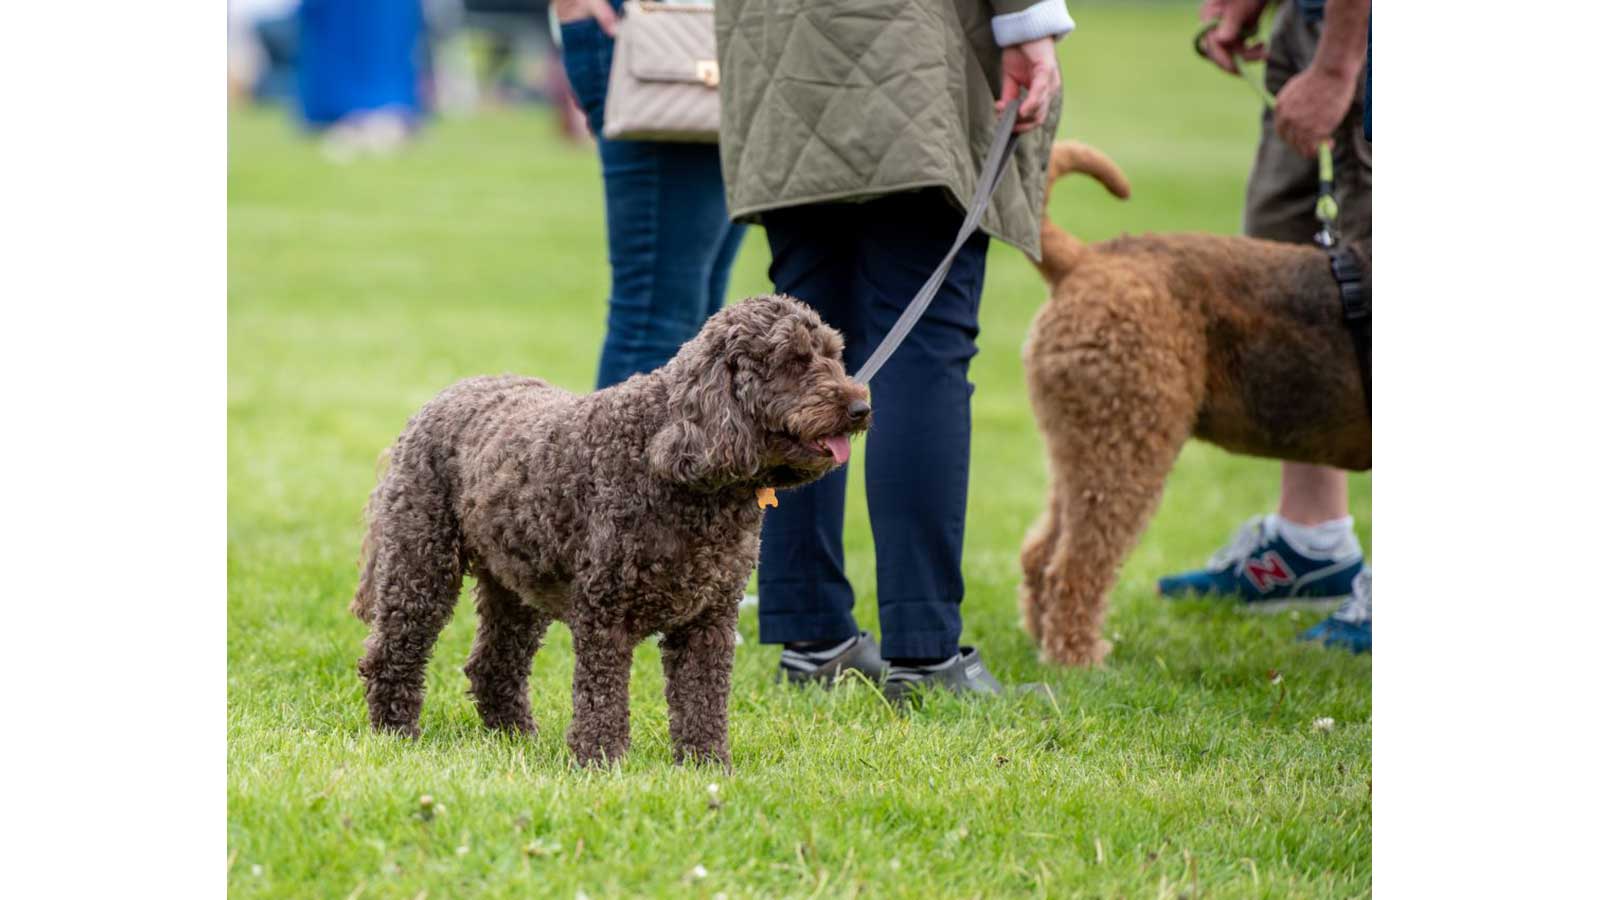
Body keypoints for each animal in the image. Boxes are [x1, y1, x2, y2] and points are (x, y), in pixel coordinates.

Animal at [355, 294, 870, 762]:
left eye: (833, 355)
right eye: (793, 360)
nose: (860, 407)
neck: (670, 452)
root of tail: (439, 399)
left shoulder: (711, 618)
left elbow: (702, 697)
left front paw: (705, 763)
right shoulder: (605, 612)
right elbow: (602, 693)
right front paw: (601, 760)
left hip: (516, 585)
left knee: (493, 664)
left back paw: (515, 737)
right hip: (421, 564)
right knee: (393, 652)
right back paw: (395, 733)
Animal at [1017, 140, 1369, 666]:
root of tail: (1085, 258)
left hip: (1082, 442)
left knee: (1040, 553)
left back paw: (1047, 644)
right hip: (1128, 442)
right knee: (1075, 566)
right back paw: (1080, 660)